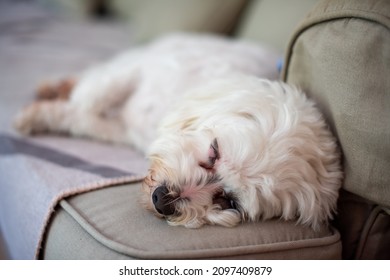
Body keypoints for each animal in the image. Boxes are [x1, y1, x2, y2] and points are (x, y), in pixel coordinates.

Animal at [15, 34, 342, 230]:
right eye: (214, 151)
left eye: (230, 202)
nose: (163, 199)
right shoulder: (139, 70)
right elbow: (91, 98)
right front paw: (32, 116)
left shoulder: (120, 129)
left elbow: (82, 117)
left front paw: (44, 115)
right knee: (88, 79)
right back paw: (53, 87)